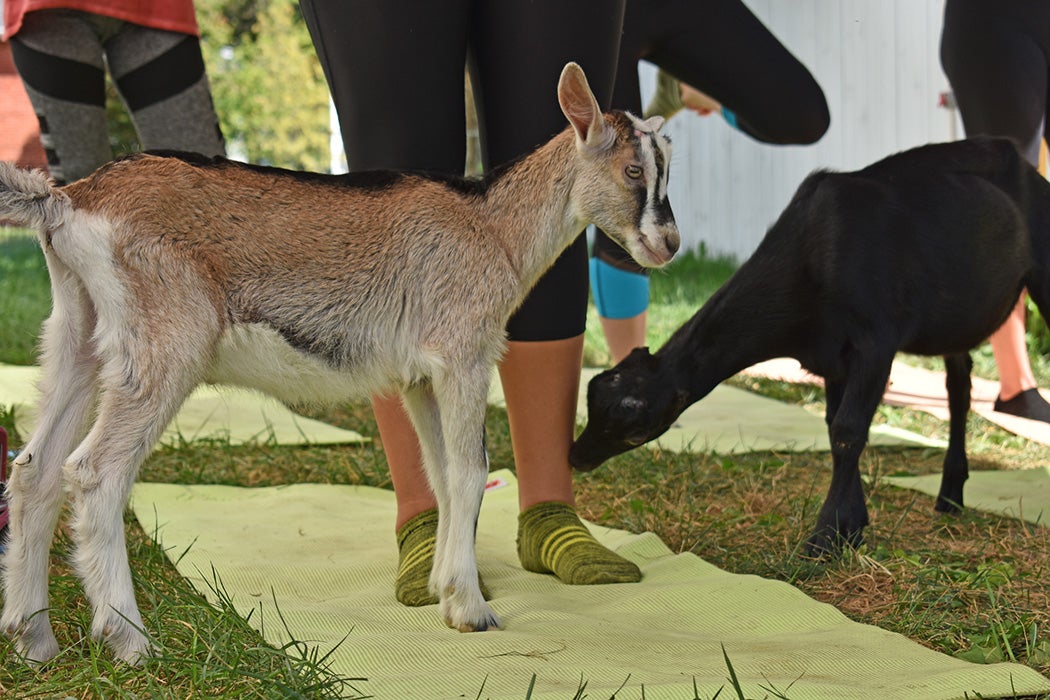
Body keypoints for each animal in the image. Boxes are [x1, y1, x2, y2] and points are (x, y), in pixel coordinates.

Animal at [571, 135, 1050, 554]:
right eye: (593, 398)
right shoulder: (832, 355)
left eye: (636, 429)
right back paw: (950, 494)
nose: (576, 456)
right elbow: (835, 424)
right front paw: (851, 527)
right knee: (959, 390)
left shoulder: (875, 343)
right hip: (953, 322)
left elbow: (849, 430)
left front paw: (825, 535)